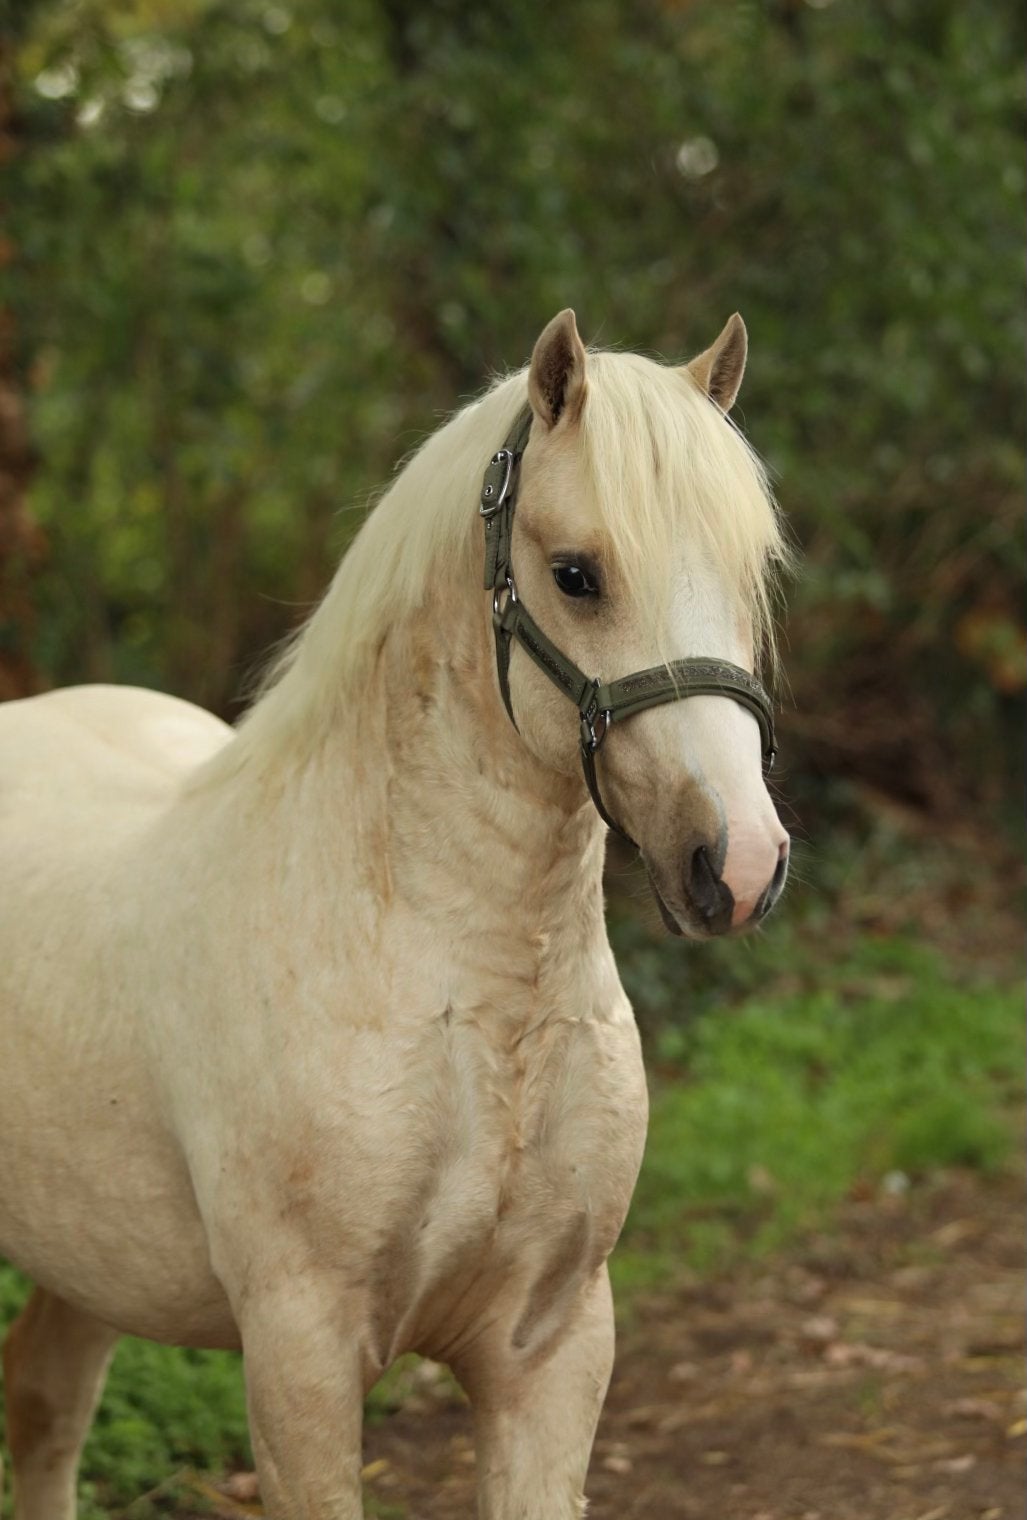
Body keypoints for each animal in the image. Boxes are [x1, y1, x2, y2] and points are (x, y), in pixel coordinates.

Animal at [0, 308, 790, 1520]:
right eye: (576, 575)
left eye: (749, 575)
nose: (738, 864)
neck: (474, 1006)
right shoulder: (302, 1356)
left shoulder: (552, 1350)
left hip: (84, 1257)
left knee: (45, 1408)